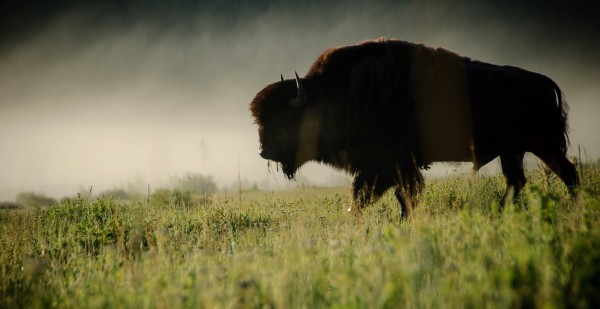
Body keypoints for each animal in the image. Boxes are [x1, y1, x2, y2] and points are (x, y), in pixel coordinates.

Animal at [247, 38, 576, 217]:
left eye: (284, 120)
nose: (264, 151)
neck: (332, 96)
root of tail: (544, 82)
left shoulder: (388, 164)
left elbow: (377, 195)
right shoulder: (391, 167)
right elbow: (391, 196)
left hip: (541, 143)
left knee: (567, 172)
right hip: (514, 150)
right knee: (518, 180)